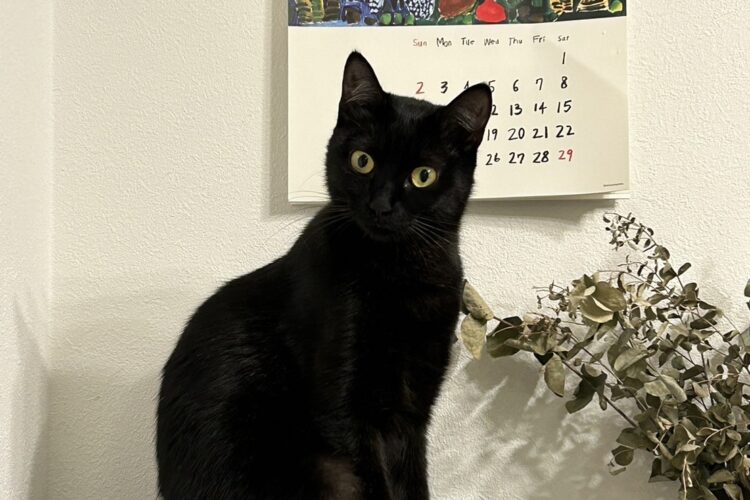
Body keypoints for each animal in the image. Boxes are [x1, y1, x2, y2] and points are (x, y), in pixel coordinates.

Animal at [156, 52, 492, 499]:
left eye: (423, 175)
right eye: (362, 161)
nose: (381, 206)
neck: (402, 274)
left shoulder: (413, 408)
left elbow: (411, 481)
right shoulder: (344, 406)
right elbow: (373, 480)